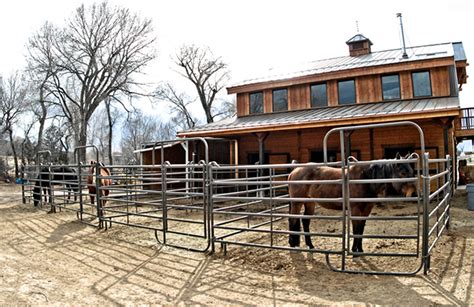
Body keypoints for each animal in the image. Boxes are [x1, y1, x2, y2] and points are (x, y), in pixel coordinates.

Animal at [286, 161, 414, 255]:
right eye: (403, 172)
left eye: (412, 171)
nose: (413, 193)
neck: (365, 179)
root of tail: (293, 172)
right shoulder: (355, 209)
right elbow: (356, 229)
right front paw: (354, 250)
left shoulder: (366, 210)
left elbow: (361, 229)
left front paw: (360, 250)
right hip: (297, 203)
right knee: (293, 219)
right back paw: (292, 244)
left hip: (309, 202)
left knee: (305, 221)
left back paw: (310, 245)